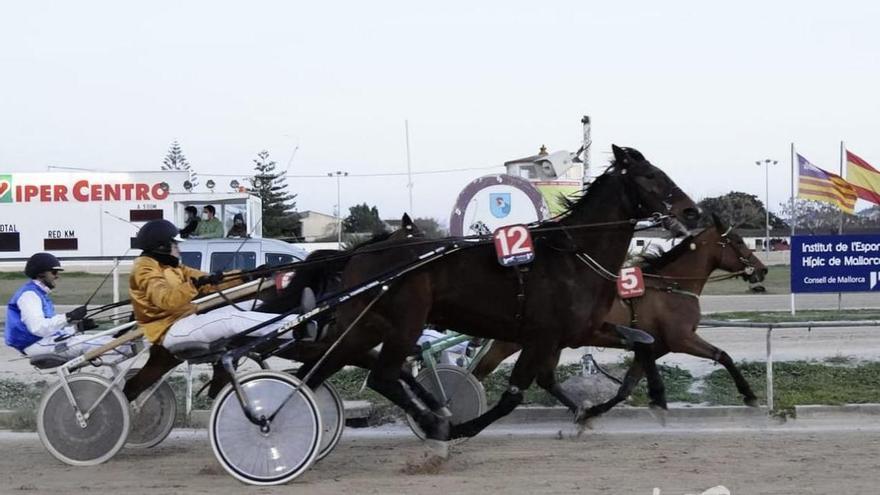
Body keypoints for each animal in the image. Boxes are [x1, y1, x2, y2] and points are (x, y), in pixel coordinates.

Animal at [296, 144, 700, 442]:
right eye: (651, 176)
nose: (692, 212)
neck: (573, 256)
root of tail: (360, 252)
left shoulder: (582, 330)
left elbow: (644, 341)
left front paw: (651, 401)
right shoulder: (542, 336)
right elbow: (512, 397)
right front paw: (461, 428)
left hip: (365, 326)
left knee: (315, 369)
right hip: (405, 322)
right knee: (381, 376)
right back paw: (435, 421)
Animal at [470, 215, 768, 420]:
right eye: (738, 241)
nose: (762, 270)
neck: (669, 285)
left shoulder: (656, 346)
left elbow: (627, 384)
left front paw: (601, 409)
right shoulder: (681, 339)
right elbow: (723, 355)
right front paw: (750, 395)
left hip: (548, 342)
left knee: (545, 379)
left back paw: (578, 410)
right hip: (516, 342)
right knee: (482, 370)